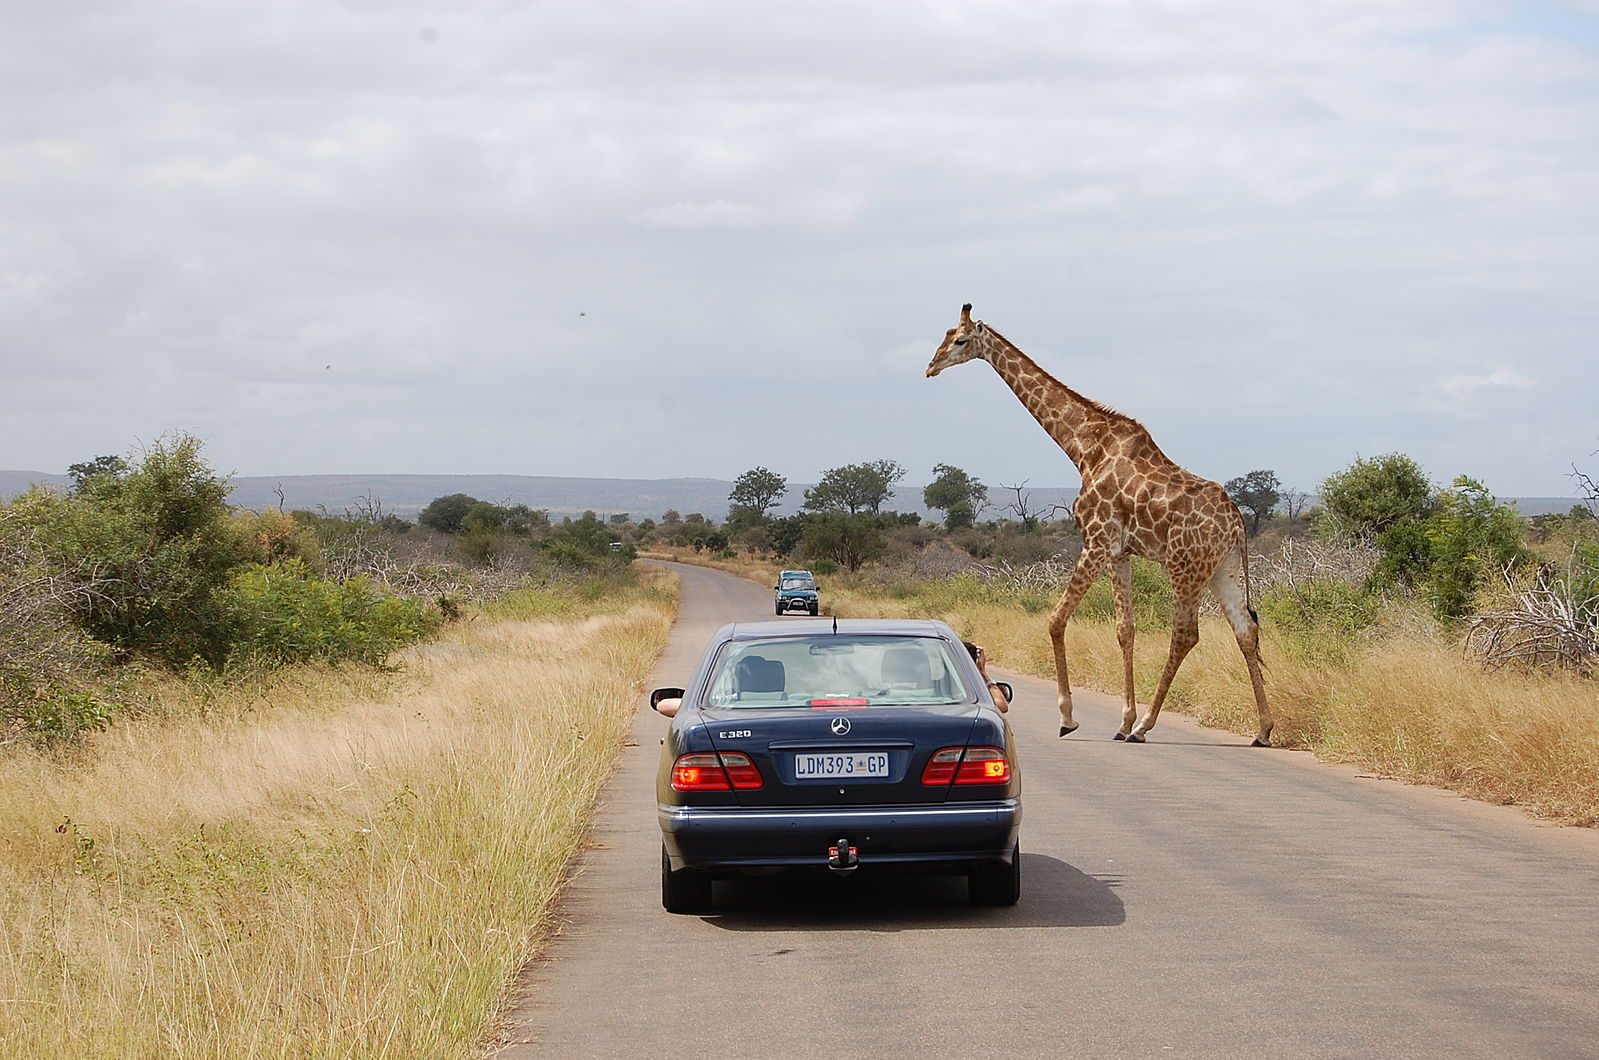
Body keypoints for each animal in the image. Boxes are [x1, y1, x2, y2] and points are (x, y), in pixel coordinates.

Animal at [927, 302, 1272, 741]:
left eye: (960, 340)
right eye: (945, 334)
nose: (931, 366)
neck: (1083, 448)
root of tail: (1238, 524)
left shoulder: (1095, 539)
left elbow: (1056, 619)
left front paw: (1069, 717)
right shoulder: (1119, 551)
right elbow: (1125, 629)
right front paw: (1121, 720)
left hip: (1185, 566)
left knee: (1185, 634)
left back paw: (1146, 725)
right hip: (1220, 568)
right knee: (1245, 630)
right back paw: (1262, 729)